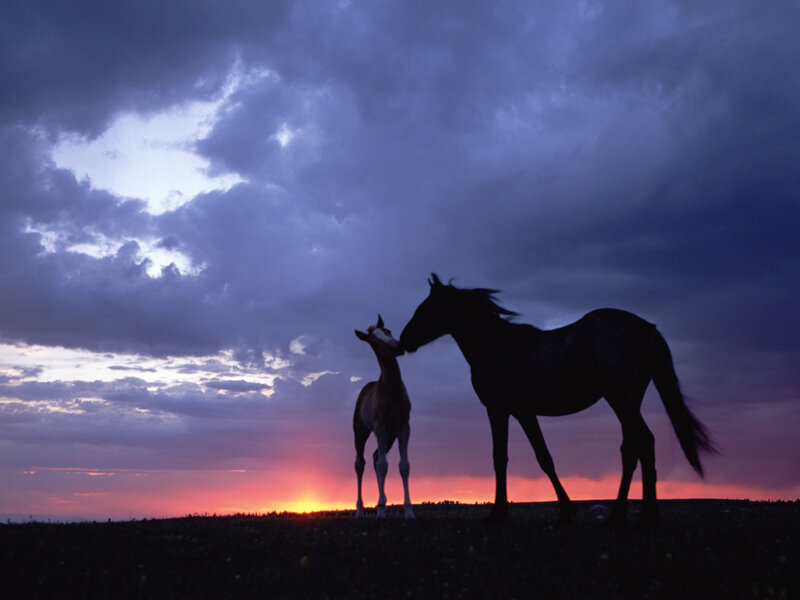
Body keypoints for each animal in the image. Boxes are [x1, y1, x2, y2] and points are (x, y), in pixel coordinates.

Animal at [353, 315, 415, 519]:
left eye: (389, 331)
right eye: (373, 341)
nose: (398, 347)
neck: (392, 389)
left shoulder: (403, 427)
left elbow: (403, 466)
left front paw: (409, 511)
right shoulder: (380, 427)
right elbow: (382, 465)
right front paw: (380, 512)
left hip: (390, 436)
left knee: (375, 457)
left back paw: (382, 502)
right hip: (361, 432)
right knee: (361, 463)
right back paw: (361, 510)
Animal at [399, 274, 715, 528]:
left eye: (427, 308)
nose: (404, 339)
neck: (498, 347)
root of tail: (646, 328)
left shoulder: (498, 410)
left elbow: (500, 458)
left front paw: (498, 513)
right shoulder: (524, 413)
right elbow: (545, 458)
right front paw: (566, 511)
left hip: (622, 400)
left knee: (643, 443)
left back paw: (641, 518)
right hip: (627, 402)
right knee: (632, 448)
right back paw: (623, 516)